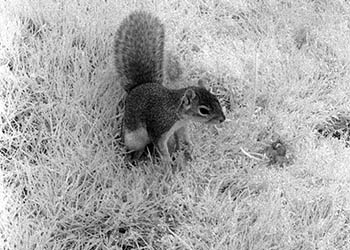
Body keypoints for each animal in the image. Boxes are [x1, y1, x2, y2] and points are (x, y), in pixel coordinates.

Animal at [113, 10, 226, 161]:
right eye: (203, 110)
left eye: (217, 100)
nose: (222, 119)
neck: (177, 113)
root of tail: (138, 87)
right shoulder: (159, 127)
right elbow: (160, 146)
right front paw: (167, 163)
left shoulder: (181, 127)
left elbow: (184, 138)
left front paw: (190, 147)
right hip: (133, 138)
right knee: (136, 148)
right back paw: (133, 159)